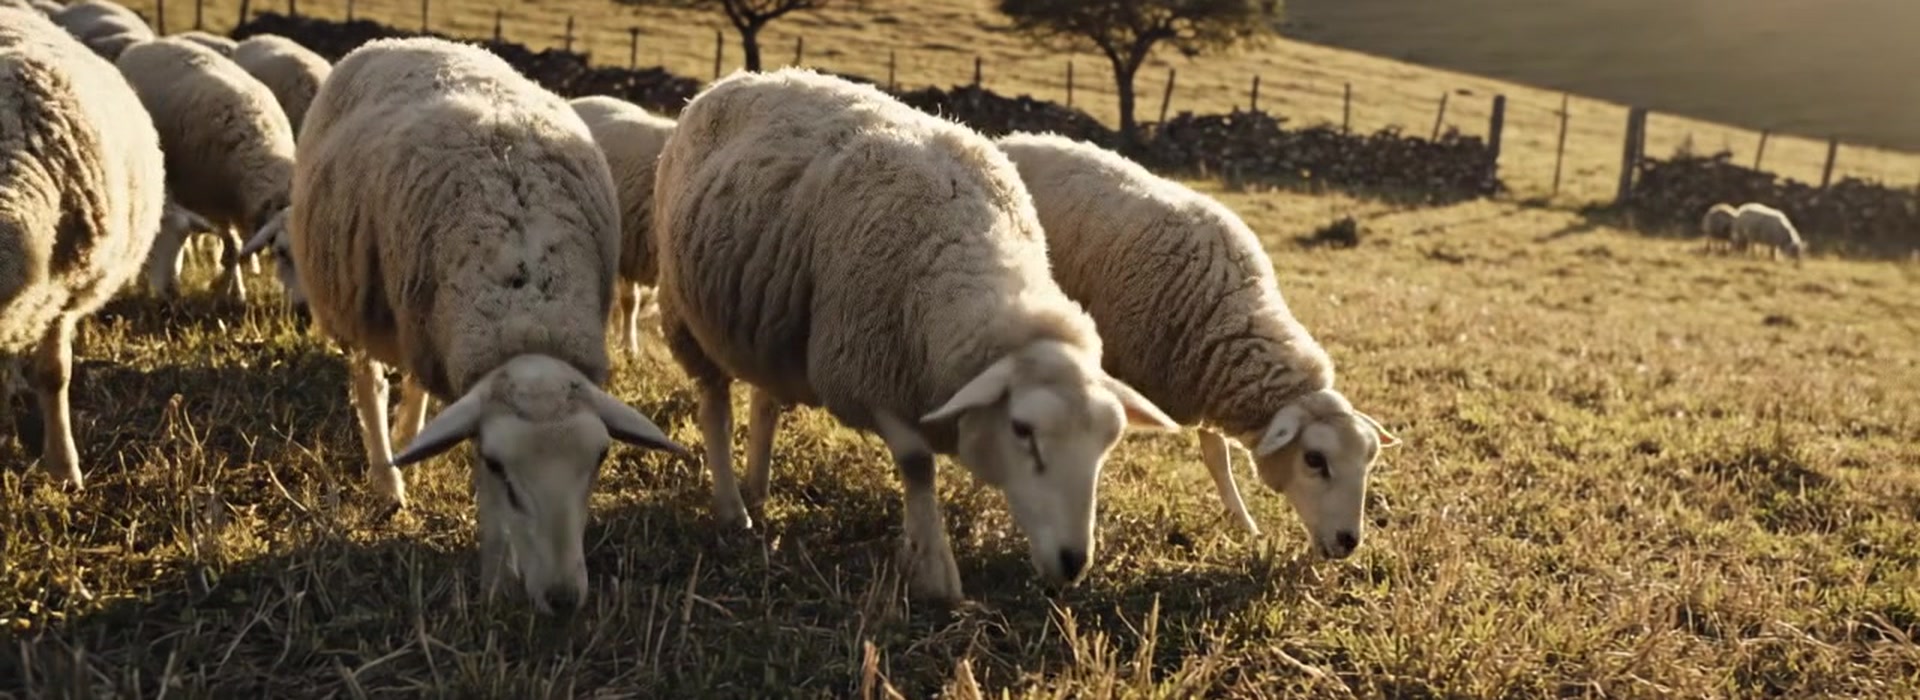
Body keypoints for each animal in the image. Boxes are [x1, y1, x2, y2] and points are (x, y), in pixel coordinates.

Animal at [116, 36, 295, 304]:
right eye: (282, 251)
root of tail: (151, 42)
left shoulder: (238, 209)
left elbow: (237, 250)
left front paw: (232, 291)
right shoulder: (216, 204)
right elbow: (231, 250)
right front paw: (229, 293)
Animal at [653, 68, 1179, 603]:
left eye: (1108, 443)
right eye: (1022, 430)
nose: (1074, 563)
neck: (958, 256)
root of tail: (736, 79)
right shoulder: (864, 369)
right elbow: (917, 464)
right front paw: (934, 571)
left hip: (775, 322)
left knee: (766, 400)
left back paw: (758, 488)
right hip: (685, 311)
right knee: (715, 407)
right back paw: (732, 509)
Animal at [993, 132, 1401, 555]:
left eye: (1369, 461)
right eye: (1315, 459)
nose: (1348, 542)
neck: (1222, 309)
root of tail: (1011, 139)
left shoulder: (1204, 376)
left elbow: (1216, 455)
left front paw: (1245, 526)